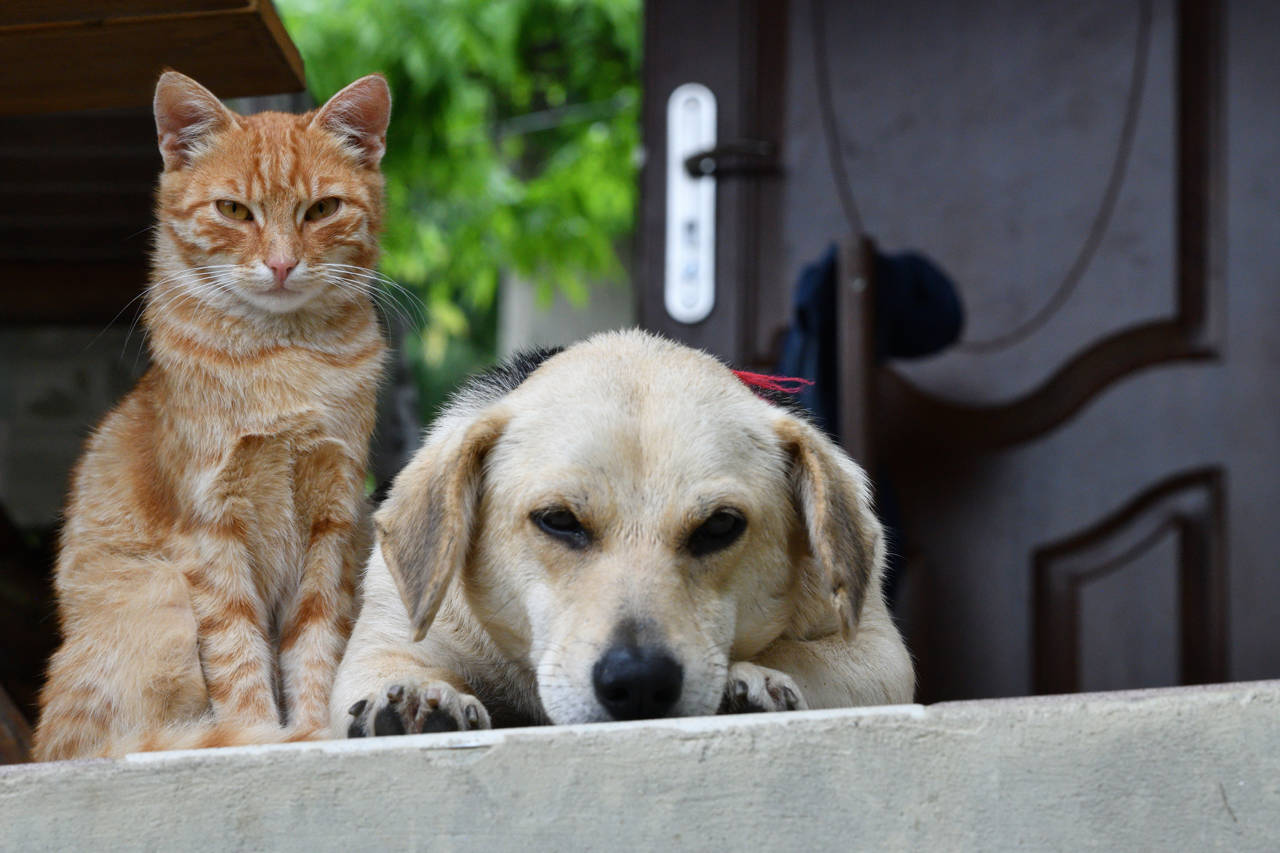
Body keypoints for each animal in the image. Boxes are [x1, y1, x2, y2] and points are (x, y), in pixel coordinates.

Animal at [36, 69, 394, 753]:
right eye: (233, 211)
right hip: (162, 599)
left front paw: (314, 730)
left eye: (322, 210)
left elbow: (315, 641)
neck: (282, 357)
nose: (281, 264)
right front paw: (260, 734)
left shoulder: (333, 519)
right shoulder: (211, 529)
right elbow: (237, 647)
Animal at [330, 327, 911, 732]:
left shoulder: (879, 656)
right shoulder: (385, 646)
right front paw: (421, 697)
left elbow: (792, 652)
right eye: (558, 520)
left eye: (721, 526)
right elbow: (399, 670)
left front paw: (749, 678)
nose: (639, 684)